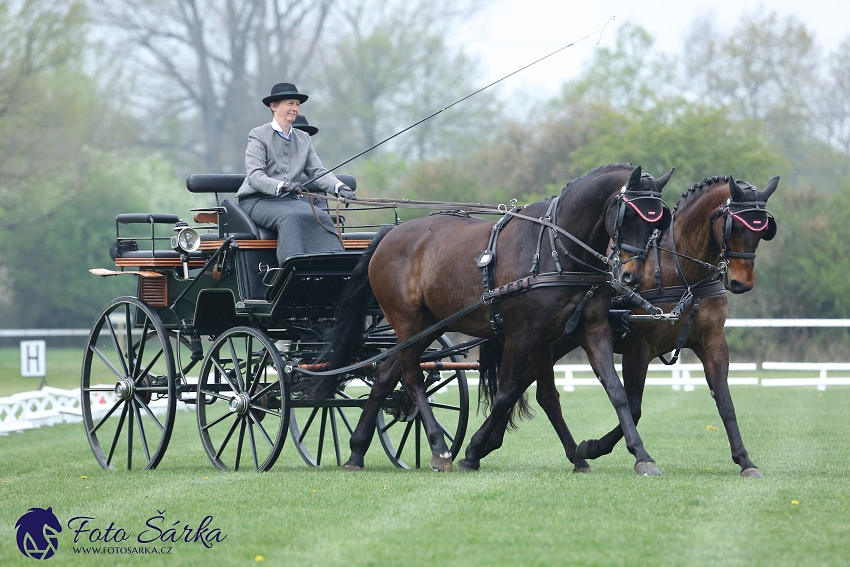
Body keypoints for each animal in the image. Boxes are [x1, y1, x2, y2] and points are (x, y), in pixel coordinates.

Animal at [314, 164, 672, 474]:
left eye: (657, 222)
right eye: (629, 215)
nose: (630, 277)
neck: (557, 251)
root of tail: (389, 234)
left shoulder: (582, 331)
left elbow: (604, 392)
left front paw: (633, 456)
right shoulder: (520, 335)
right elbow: (504, 395)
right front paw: (472, 453)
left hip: (429, 325)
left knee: (386, 375)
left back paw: (356, 451)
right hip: (407, 322)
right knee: (411, 377)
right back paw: (439, 449)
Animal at [476, 176, 776, 474]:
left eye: (763, 230)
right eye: (736, 225)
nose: (741, 283)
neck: (679, 272)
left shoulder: (712, 341)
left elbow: (725, 402)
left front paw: (745, 460)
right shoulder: (638, 347)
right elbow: (633, 408)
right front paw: (597, 448)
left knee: (524, 386)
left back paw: (488, 443)